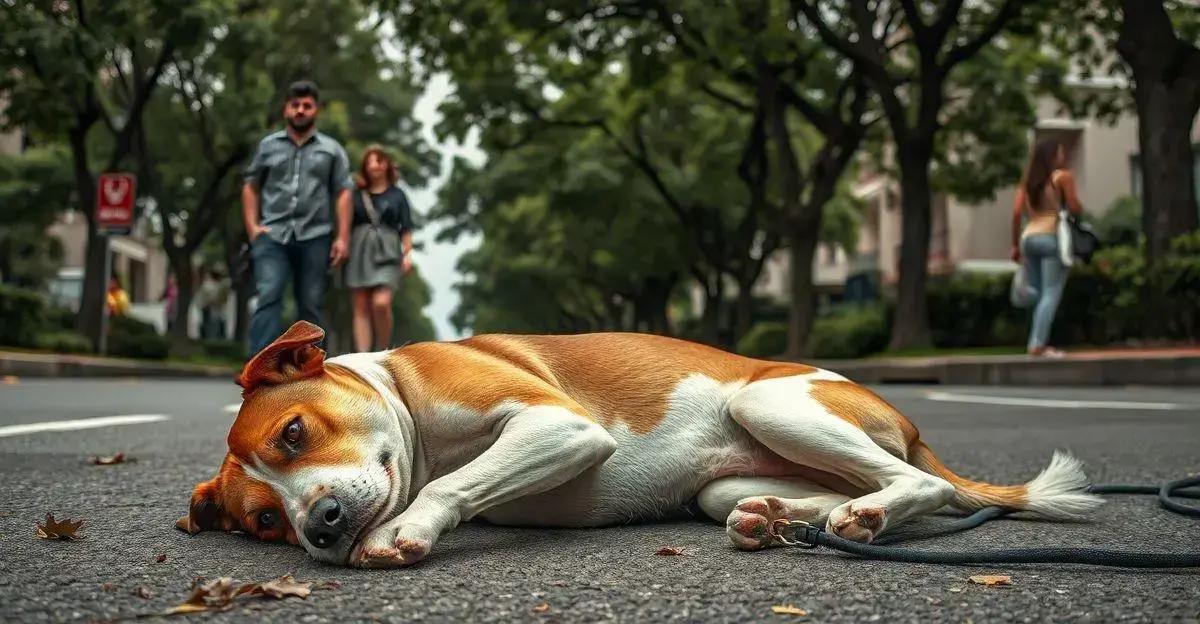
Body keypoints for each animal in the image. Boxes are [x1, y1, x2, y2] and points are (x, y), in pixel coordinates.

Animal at [174, 319, 1099, 568]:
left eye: (296, 431)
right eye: (265, 523)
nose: (320, 524)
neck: (402, 396)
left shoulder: (556, 425)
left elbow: (449, 486)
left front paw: (406, 529)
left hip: (770, 400)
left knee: (922, 487)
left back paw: (862, 517)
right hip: (727, 481)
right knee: (838, 494)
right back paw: (782, 517)